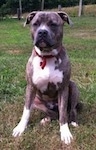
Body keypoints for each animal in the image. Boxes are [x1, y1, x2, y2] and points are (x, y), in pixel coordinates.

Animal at [12, 11, 80, 145]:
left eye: (53, 24)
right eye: (35, 24)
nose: (42, 32)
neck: (46, 56)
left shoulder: (63, 89)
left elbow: (63, 114)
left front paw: (65, 132)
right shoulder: (30, 88)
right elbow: (26, 111)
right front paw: (20, 128)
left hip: (73, 87)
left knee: (71, 110)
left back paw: (73, 121)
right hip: (37, 102)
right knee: (51, 112)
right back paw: (46, 119)